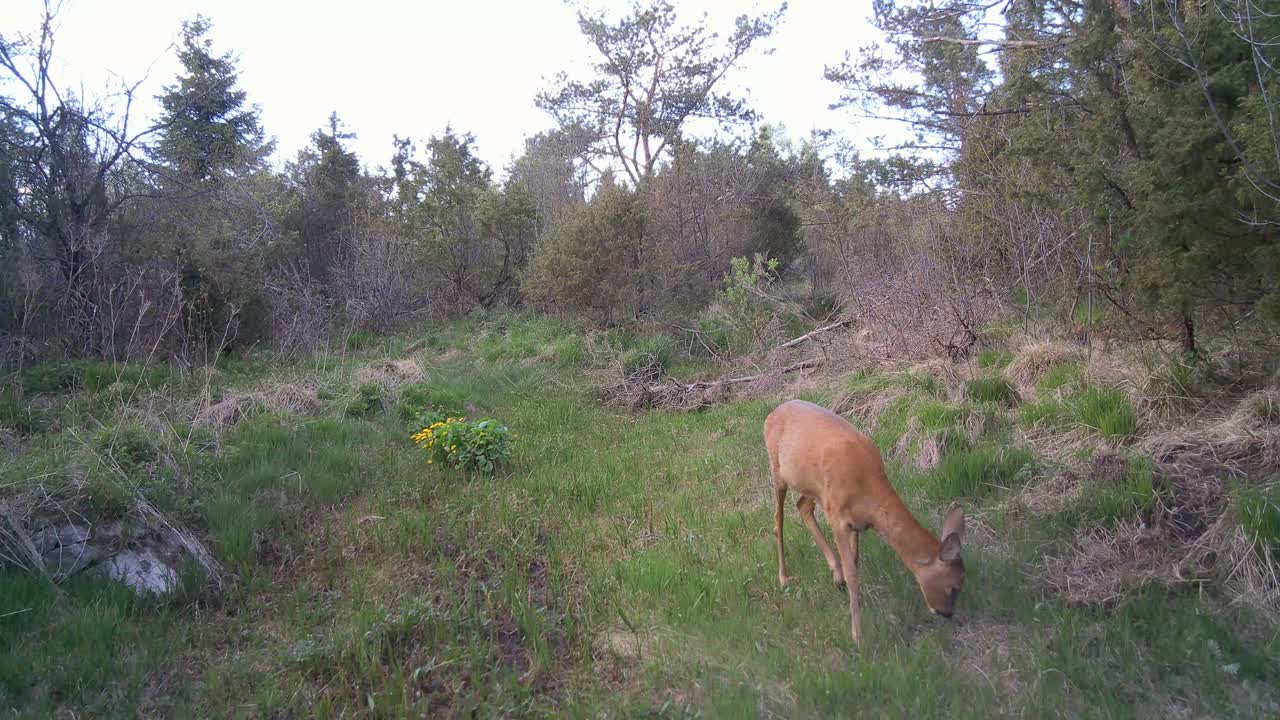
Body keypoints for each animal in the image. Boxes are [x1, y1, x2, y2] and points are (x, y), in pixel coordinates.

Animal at [764, 399, 966, 646]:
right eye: (954, 586)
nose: (947, 613)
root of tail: (773, 413)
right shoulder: (837, 517)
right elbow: (853, 575)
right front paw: (858, 637)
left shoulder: (855, 522)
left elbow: (855, 561)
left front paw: (846, 590)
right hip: (778, 472)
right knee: (778, 519)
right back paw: (784, 577)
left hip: (814, 489)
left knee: (802, 506)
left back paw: (835, 575)